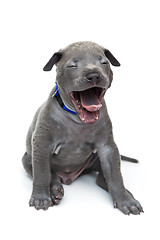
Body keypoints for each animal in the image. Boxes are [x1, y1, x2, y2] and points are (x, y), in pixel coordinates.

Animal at [21, 40, 143, 214]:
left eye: (104, 63)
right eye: (72, 66)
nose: (94, 75)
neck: (77, 119)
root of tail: (68, 177)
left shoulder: (108, 148)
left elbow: (115, 175)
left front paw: (125, 200)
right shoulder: (42, 145)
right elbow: (42, 173)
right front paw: (41, 197)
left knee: (102, 178)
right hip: (28, 158)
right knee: (50, 174)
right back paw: (55, 189)